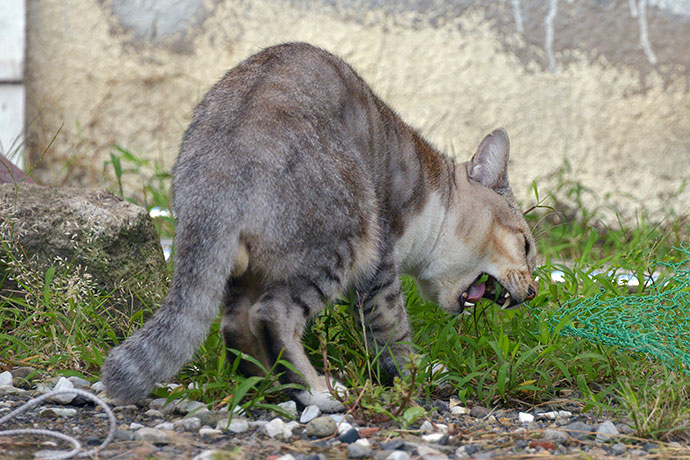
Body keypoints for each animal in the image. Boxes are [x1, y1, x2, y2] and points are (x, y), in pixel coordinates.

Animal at [101, 41, 536, 412]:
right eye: (528, 245)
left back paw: (272, 386)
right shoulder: (381, 262)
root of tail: (219, 169)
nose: (533, 291)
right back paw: (316, 392)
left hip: (248, 267)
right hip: (345, 233)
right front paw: (418, 369)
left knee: (236, 324)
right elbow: (390, 327)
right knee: (271, 314)